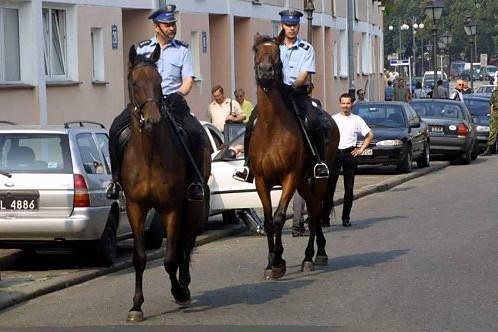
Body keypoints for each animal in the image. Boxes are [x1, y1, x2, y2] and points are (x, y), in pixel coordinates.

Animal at [124, 44, 212, 322]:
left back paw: (184, 285)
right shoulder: (135, 207)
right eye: (134, 83)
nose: (152, 120)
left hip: (193, 204)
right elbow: (140, 257)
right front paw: (136, 306)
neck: (149, 155)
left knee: (187, 242)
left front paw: (179, 291)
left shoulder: (171, 207)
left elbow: (171, 257)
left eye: (159, 81)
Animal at [251, 35, 340, 278]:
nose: (265, 70)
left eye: (277, 54)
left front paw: (277, 261)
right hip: (303, 181)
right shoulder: (261, 180)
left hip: (319, 177)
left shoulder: (289, 177)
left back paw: (314, 255)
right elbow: (269, 220)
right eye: (256, 51)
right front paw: (273, 262)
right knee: (312, 206)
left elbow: (280, 217)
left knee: (316, 209)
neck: (271, 129)